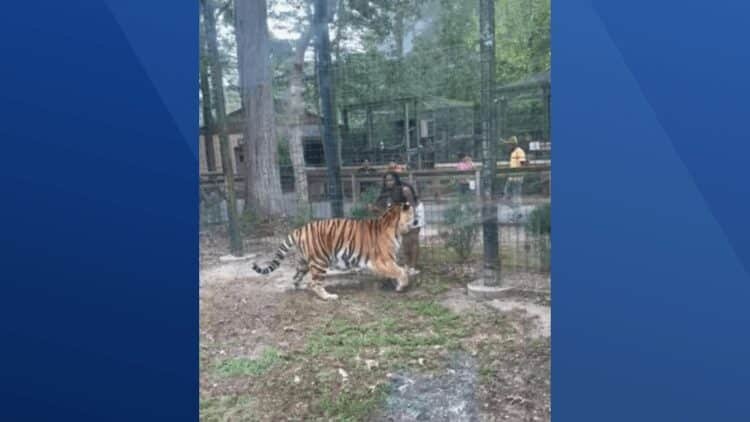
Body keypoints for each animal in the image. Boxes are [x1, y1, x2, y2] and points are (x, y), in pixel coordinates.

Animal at [252, 202, 418, 300]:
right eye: (413, 214)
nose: (417, 220)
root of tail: (300, 229)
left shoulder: (388, 261)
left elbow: (398, 270)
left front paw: (398, 283)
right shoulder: (382, 260)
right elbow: (399, 271)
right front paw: (402, 285)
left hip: (303, 262)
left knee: (296, 277)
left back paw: (299, 287)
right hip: (320, 261)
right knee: (314, 283)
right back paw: (329, 296)